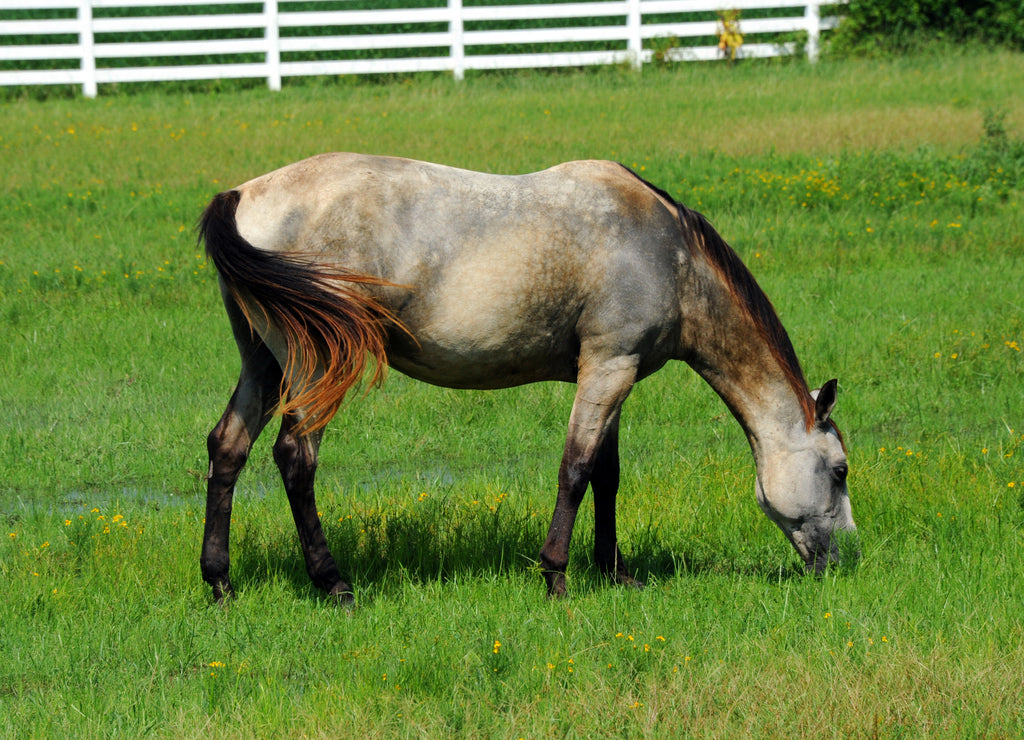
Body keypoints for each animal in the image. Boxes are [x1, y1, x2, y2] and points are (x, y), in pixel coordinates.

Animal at [195, 151, 851, 601]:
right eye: (841, 470)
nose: (847, 558)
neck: (670, 255)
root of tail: (243, 194)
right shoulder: (608, 367)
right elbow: (576, 470)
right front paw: (556, 576)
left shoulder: (613, 374)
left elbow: (607, 476)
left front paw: (615, 571)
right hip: (314, 369)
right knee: (295, 458)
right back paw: (333, 584)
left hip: (263, 363)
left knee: (228, 447)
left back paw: (220, 583)